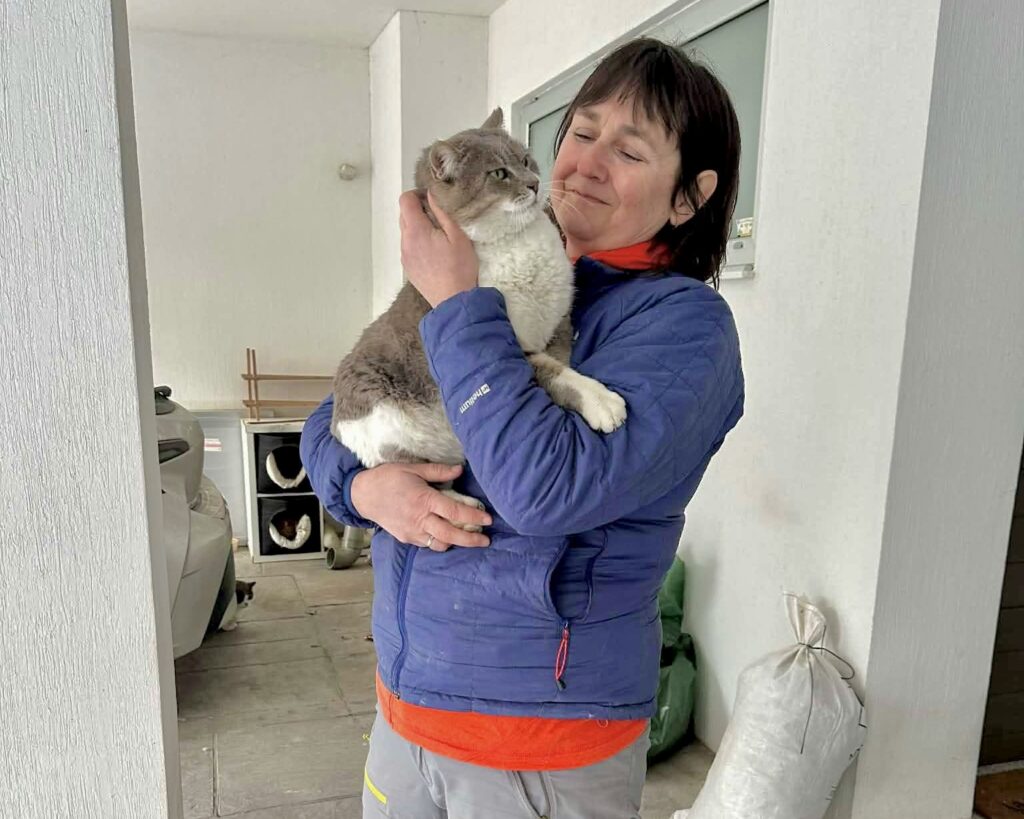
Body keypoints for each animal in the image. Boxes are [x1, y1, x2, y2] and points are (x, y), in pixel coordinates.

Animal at [331, 108, 626, 530]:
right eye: (499, 174)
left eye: (525, 160)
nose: (534, 183)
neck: (517, 244)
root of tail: (337, 424)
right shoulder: (517, 347)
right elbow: (557, 373)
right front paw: (600, 401)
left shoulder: (559, 323)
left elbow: (564, 360)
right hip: (388, 431)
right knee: (417, 478)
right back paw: (463, 515)